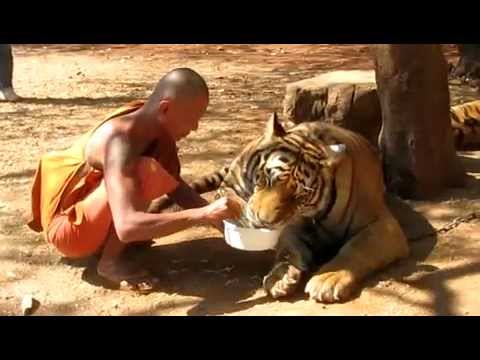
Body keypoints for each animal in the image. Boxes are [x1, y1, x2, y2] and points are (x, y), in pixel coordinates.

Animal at [150, 112, 408, 304]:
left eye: (299, 195)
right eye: (266, 179)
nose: (263, 221)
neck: (318, 216)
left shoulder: (383, 225)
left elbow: (356, 249)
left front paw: (327, 278)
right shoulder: (291, 226)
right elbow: (287, 248)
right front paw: (281, 276)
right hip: (233, 179)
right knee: (223, 192)